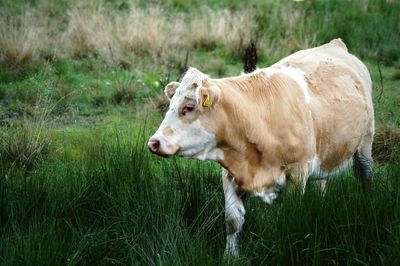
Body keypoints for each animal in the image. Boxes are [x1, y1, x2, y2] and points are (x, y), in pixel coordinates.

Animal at [148, 39, 376, 256]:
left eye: (188, 108)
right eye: (169, 107)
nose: (154, 142)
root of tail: (335, 44)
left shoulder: (298, 173)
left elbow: (291, 219)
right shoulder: (231, 174)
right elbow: (233, 221)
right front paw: (230, 256)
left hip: (365, 144)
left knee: (365, 176)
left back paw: (368, 206)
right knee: (322, 182)